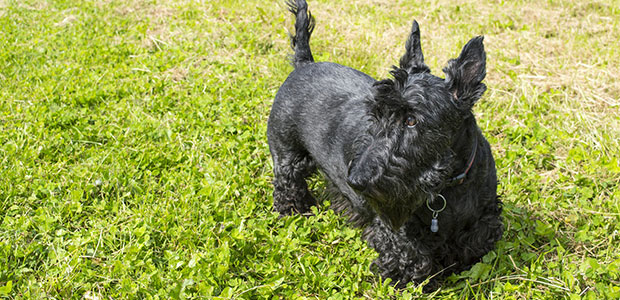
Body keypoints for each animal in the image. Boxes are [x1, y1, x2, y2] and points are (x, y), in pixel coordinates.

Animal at [268, 0, 504, 288]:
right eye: (376, 113)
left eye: (412, 120)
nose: (355, 181)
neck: (449, 186)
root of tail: (303, 64)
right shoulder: (397, 230)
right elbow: (410, 257)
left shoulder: (484, 218)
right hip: (286, 154)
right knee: (287, 184)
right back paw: (295, 212)